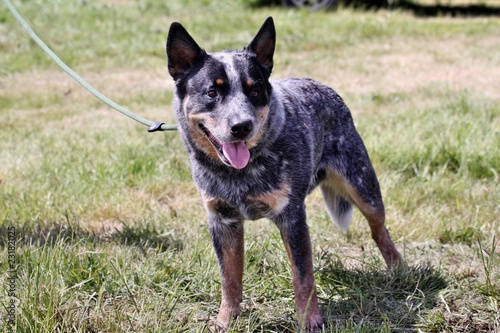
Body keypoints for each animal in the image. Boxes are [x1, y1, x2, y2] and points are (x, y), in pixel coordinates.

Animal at [166, 17, 404, 330]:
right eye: (212, 92)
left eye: (254, 91)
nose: (242, 126)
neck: (240, 174)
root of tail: (321, 85)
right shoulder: (222, 220)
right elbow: (229, 278)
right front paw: (226, 320)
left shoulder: (292, 218)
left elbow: (303, 277)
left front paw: (311, 321)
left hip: (363, 186)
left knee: (379, 229)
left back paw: (399, 268)